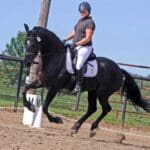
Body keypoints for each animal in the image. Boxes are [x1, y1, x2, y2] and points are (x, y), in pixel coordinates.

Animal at [22, 24, 150, 137]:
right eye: (25, 43)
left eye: (32, 44)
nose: (27, 62)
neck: (55, 57)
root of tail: (119, 69)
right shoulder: (42, 82)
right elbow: (25, 89)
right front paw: (30, 106)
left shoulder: (54, 87)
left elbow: (44, 106)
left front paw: (56, 120)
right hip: (93, 91)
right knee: (92, 108)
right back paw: (76, 127)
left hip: (102, 93)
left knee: (106, 109)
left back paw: (92, 128)